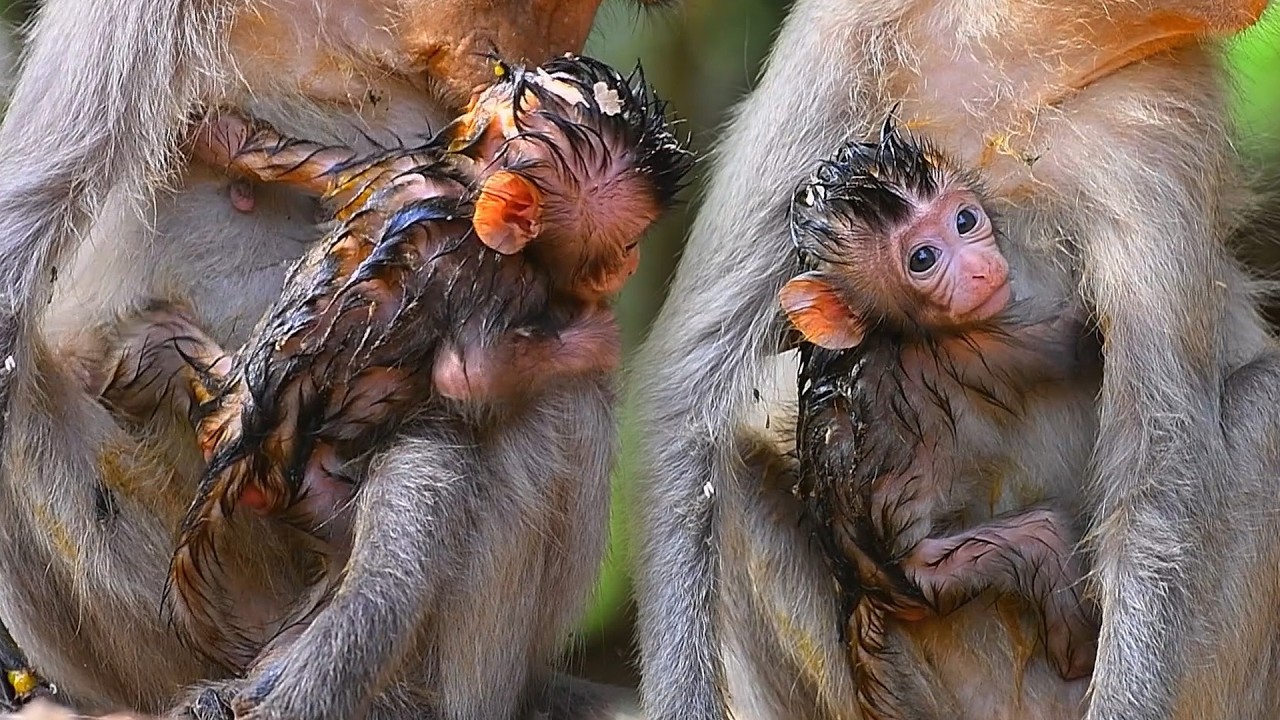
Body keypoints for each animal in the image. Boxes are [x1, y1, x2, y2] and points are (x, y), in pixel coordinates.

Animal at [779, 122, 1101, 719]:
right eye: (923, 259)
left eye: (965, 221)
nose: (979, 269)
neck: (889, 336)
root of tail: (863, 588)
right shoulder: (976, 348)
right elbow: (1074, 345)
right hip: (933, 574)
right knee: (1041, 539)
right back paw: (1077, 652)